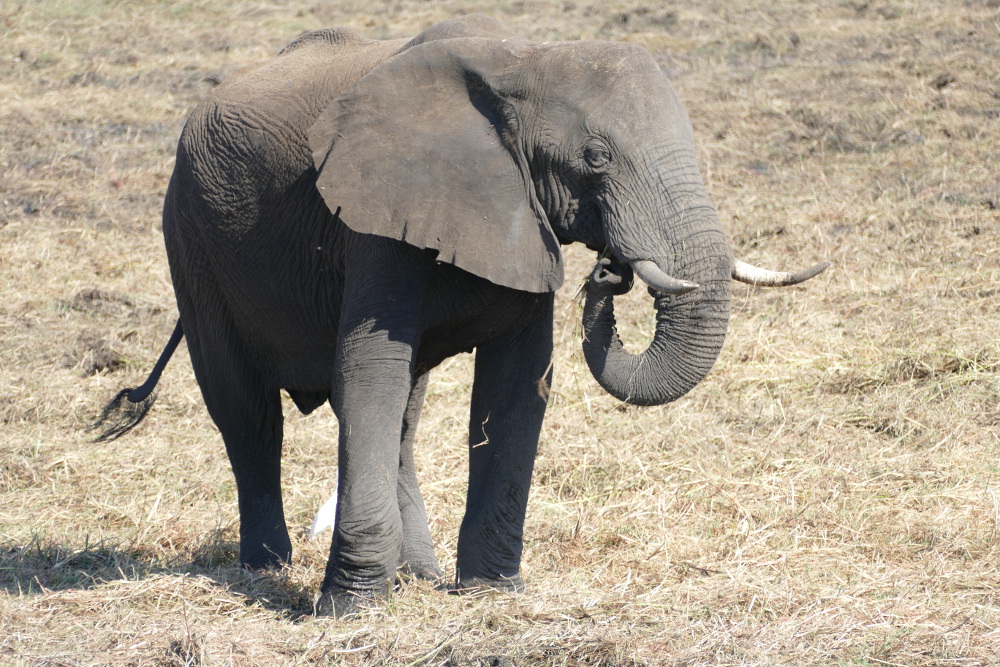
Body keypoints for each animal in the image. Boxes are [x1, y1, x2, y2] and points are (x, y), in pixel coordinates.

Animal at [91, 15, 828, 616]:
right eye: (596, 157)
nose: (610, 271)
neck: (526, 60)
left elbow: (516, 385)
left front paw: (489, 592)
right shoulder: (375, 213)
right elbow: (368, 373)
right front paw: (348, 610)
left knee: (402, 418)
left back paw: (415, 574)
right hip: (190, 235)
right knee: (247, 411)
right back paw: (267, 568)